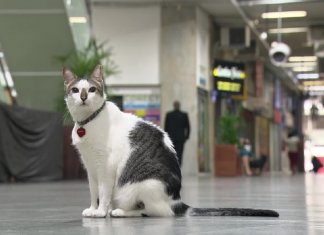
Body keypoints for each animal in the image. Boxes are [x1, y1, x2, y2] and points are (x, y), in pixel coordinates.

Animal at [62, 64, 278, 218]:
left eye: (91, 89)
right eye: (75, 90)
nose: (83, 97)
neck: (88, 122)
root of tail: (177, 200)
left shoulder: (106, 167)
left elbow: (104, 192)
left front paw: (100, 211)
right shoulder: (90, 167)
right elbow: (93, 191)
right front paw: (93, 208)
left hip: (142, 186)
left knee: (154, 211)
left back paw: (120, 212)